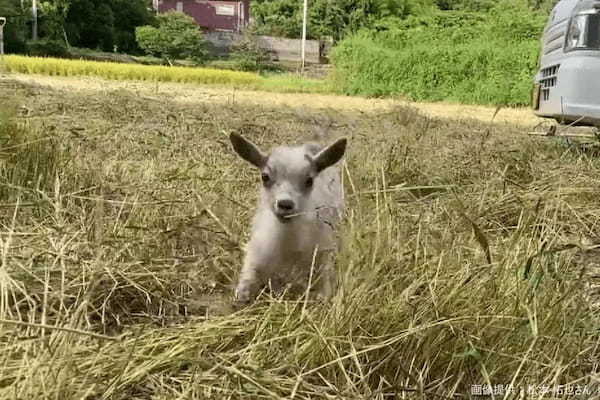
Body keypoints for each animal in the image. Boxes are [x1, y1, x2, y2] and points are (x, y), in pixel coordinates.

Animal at [230, 132, 346, 304]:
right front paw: (243, 295)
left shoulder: (323, 250)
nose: (285, 204)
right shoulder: (256, 250)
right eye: (265, 176)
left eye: (309, 180)